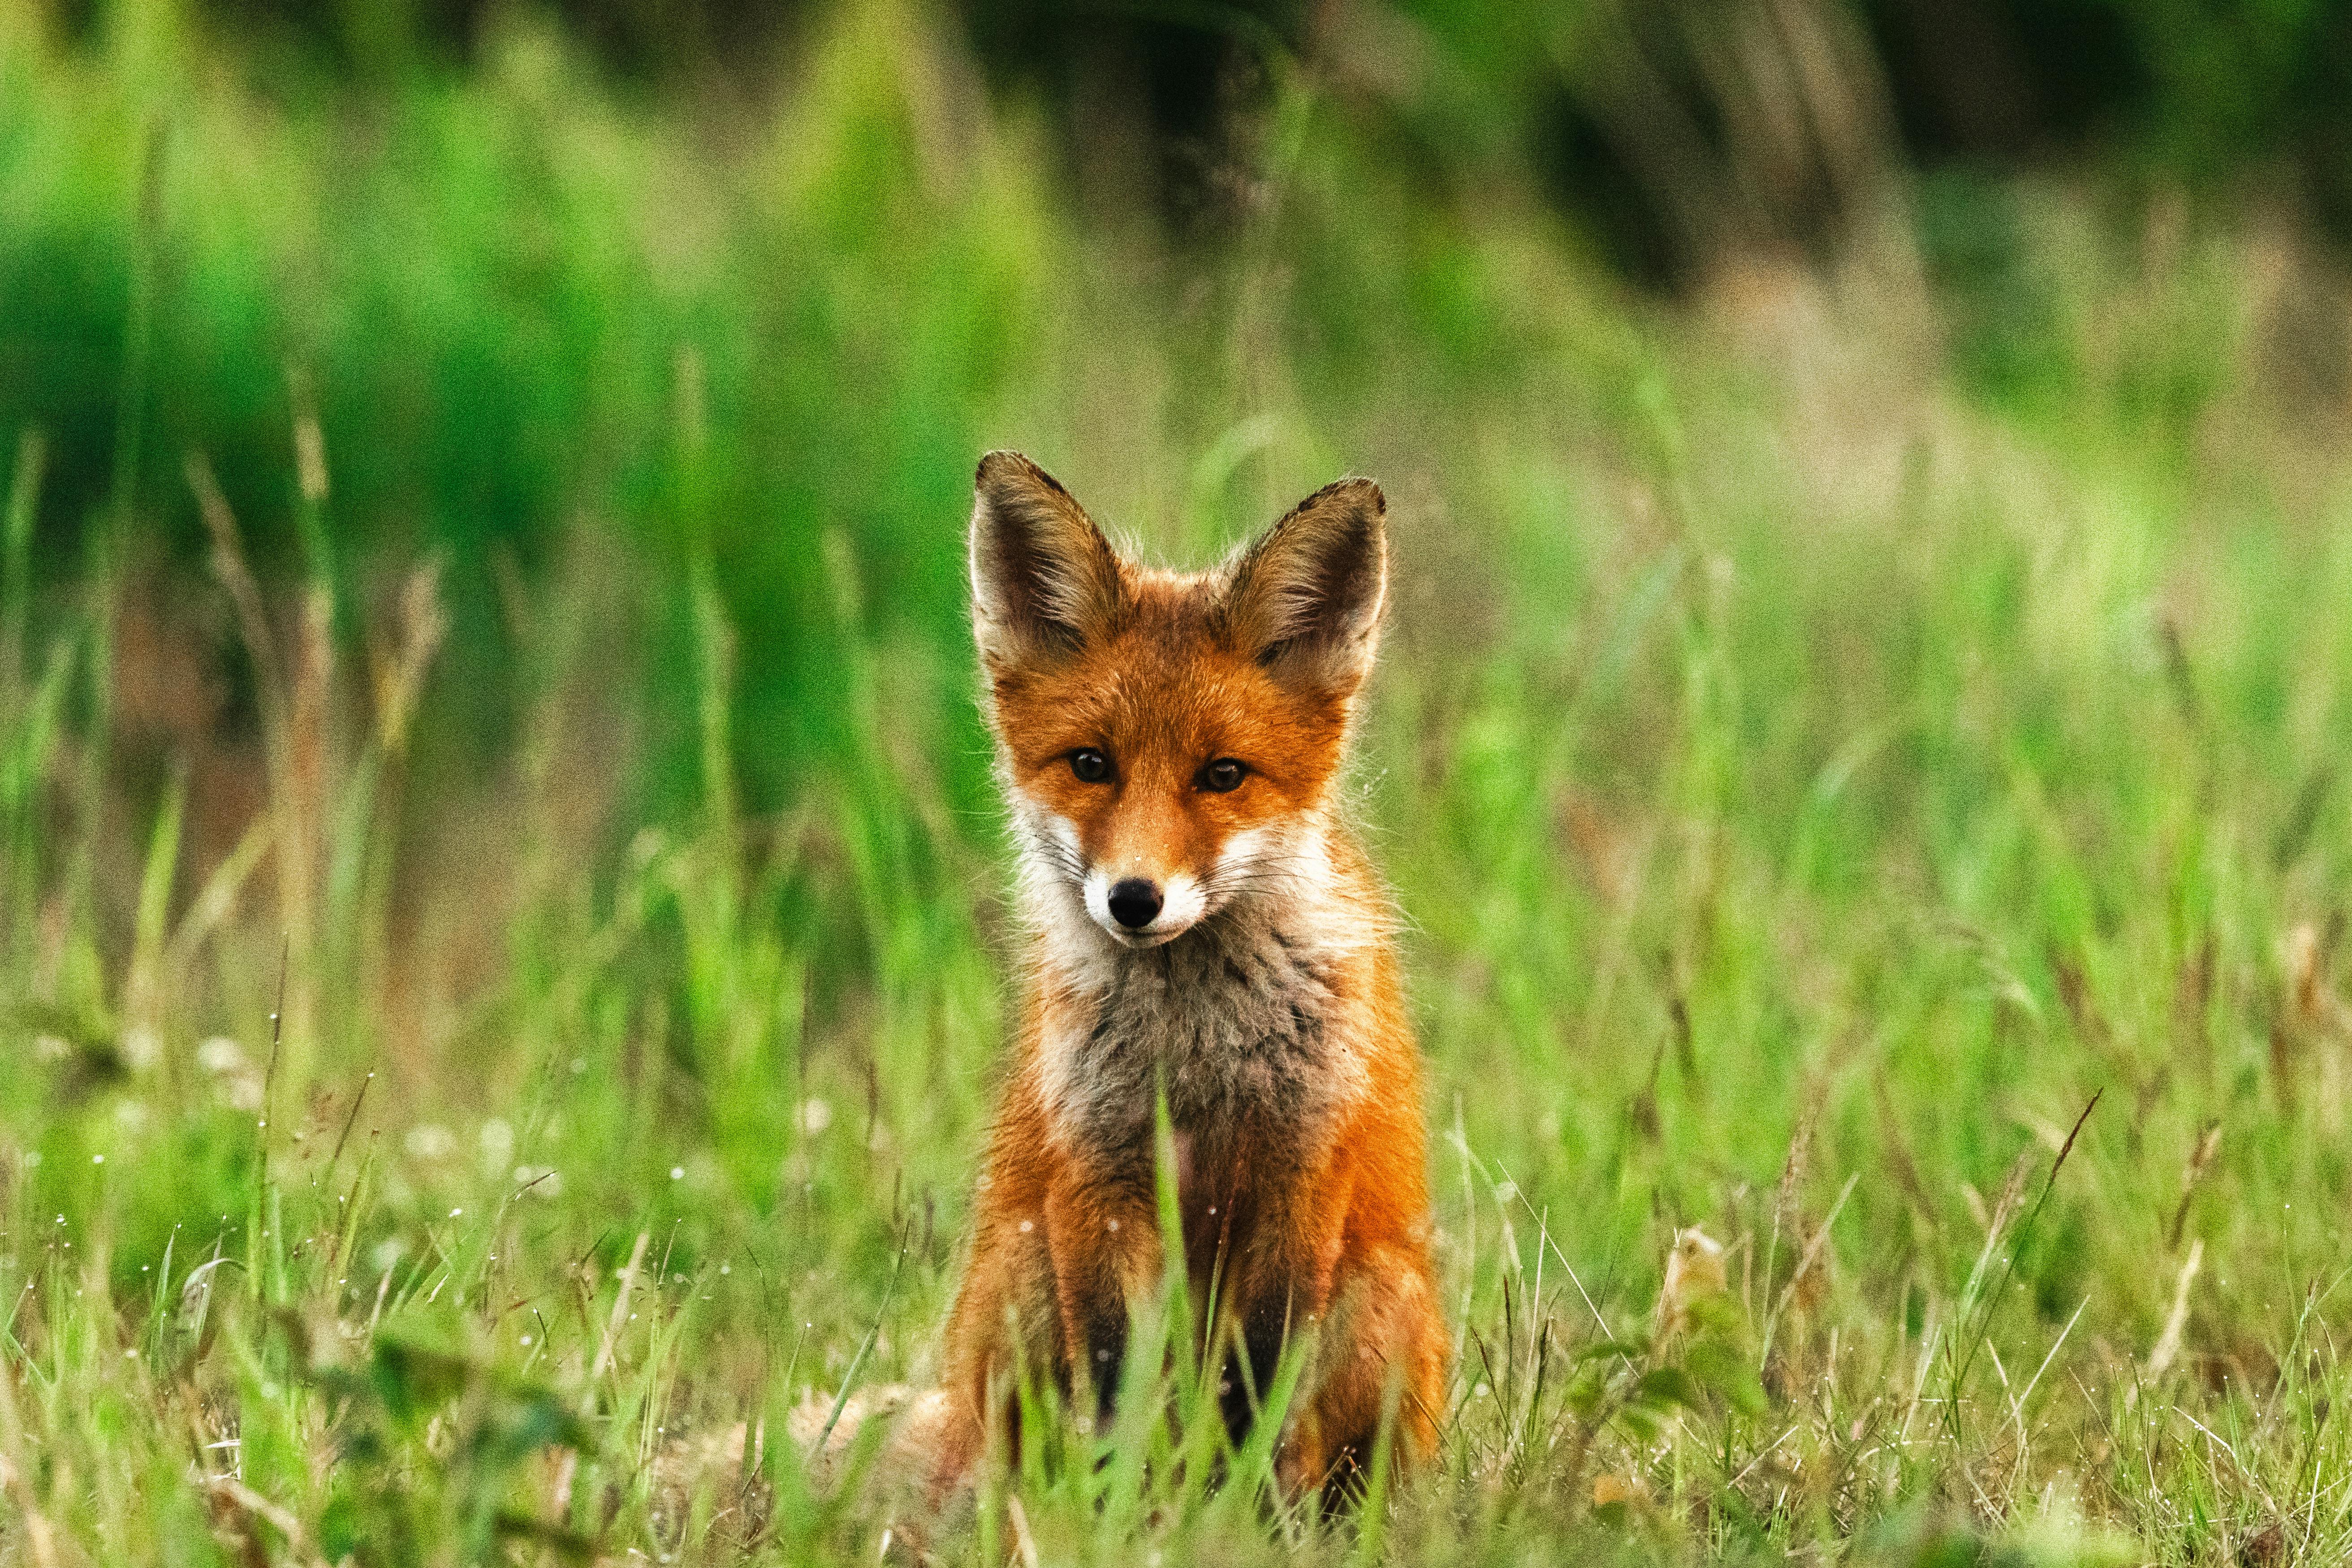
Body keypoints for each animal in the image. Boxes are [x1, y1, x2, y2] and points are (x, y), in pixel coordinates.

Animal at [905, 449, 1449, 1507]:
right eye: (1090, 764)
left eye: (1222, 775)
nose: (1133, 899)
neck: (1194, 1052)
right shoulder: (1100, 1180)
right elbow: (1119, 1384)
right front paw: (1126, 1517)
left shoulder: (1297, 1173)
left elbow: (1256, 1384)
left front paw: (1237, 1516)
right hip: (1019, 1270)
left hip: (1380, 1292)